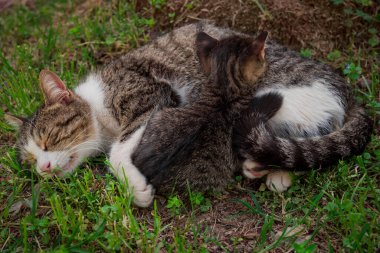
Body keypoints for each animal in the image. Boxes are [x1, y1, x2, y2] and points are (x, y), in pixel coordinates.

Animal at [5, 22, 374, 207]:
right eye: (29, 159)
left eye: (48, 138)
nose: (43, 168)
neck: (99, 109)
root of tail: (347, 92)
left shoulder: (153, 99)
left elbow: (119, 150)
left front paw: (137, 189)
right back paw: (263, 169)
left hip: (272, 96)